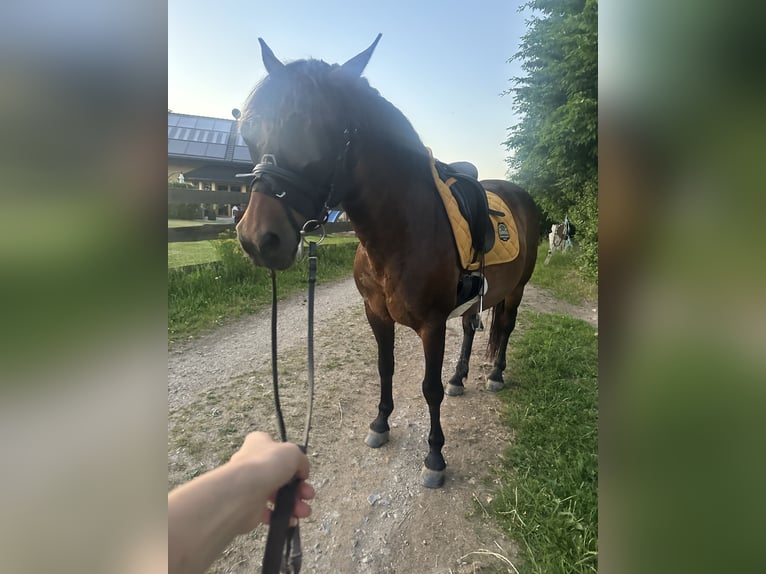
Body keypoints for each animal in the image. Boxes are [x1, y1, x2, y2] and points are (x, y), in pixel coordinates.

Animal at [235, 36, 540, 488]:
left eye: (313, 130)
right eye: (251, 130)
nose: (258, 239)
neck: (401, 231)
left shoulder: (432, 324)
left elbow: (429, 387)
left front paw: (435, 457)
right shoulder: (376, 314)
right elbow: (386, 368)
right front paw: (380, 424)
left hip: (516, 290)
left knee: (505, 327)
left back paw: (495, 374)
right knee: (472, 328)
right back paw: (460, 377)